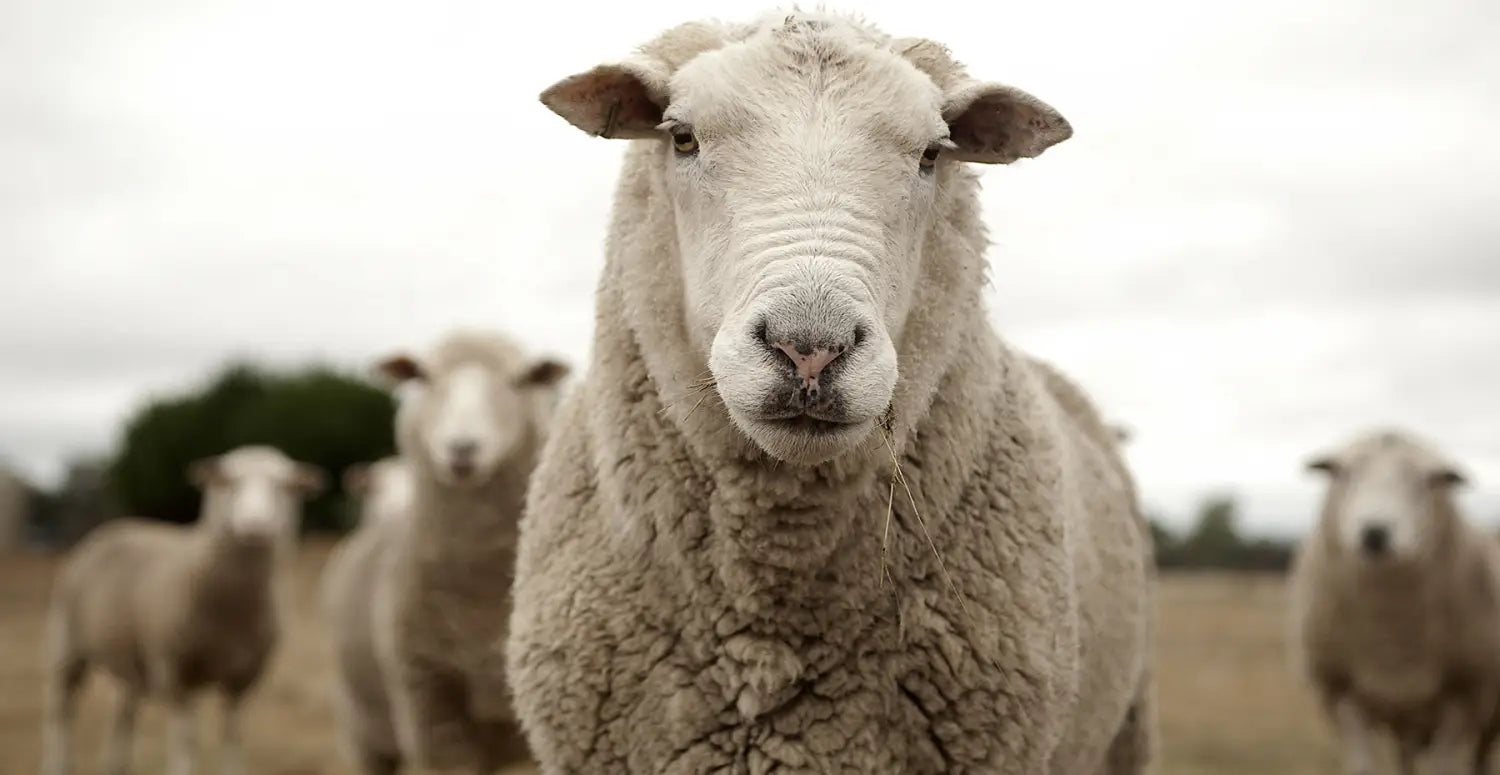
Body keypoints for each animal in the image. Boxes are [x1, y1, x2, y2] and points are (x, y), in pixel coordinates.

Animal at [40, 445, 324, 775]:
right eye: (226, 482)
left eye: (287, 486)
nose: (256, 526)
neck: (231, 611)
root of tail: (115, 526)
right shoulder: (177, 671)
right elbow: (186, 738)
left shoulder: (243, 678)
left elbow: (232, 735)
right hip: (67, 643)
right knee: (61, 710)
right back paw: (57, 763)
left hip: (129, 656)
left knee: (123, 709)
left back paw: (116, 765)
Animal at [1290, 429, 1500, 775]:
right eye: (1343, 473)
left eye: (1428, 481)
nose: (1375, 533)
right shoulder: (1341, 692)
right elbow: (1363, 767)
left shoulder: (1466, 696)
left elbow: (1443, 767)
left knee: (1478, 760)